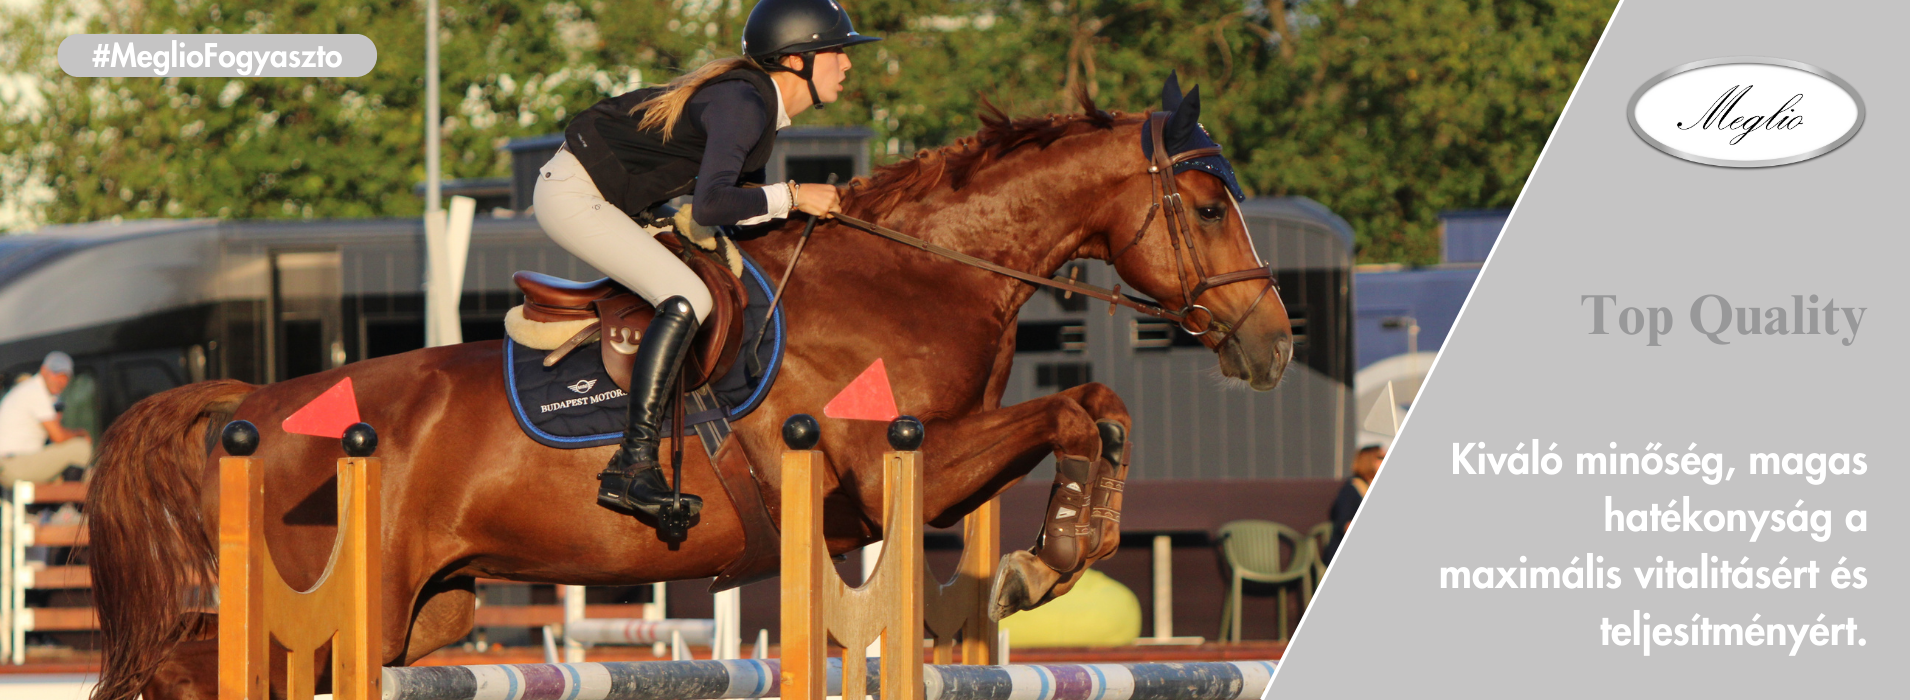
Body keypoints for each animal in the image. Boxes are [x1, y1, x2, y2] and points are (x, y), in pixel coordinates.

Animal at [84, 81, 1292, 700]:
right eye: (1204, 205)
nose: (1273, 346)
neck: (915, 275)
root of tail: (254, 405)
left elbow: (1098, 411)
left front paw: (1058, 552)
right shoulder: (898, 468)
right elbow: (1072, 407)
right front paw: (1048, 558)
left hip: (423, 614)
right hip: (337, 603)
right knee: (191, 669)